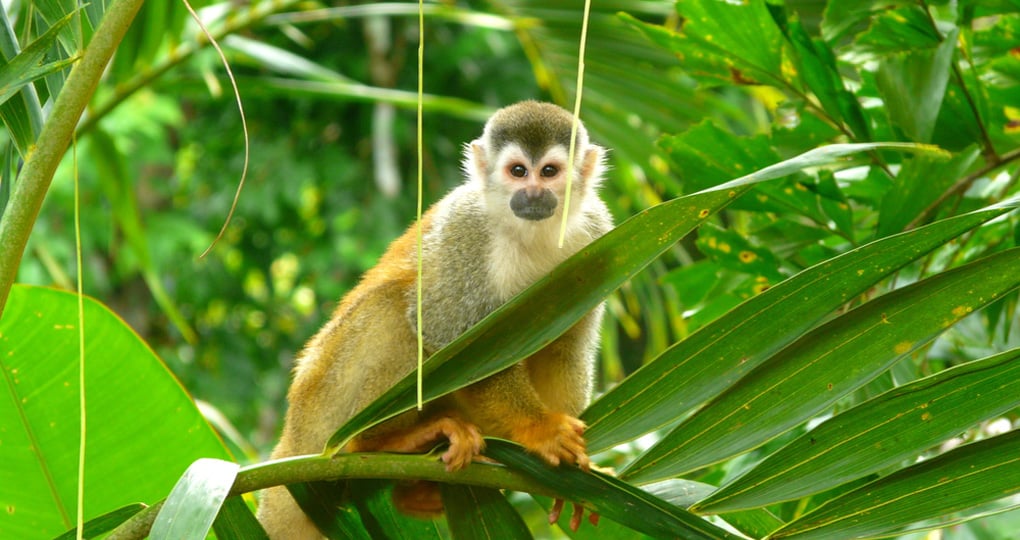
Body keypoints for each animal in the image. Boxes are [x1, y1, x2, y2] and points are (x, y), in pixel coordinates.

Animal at [257, 101, 613, 539]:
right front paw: (540, 428)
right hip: (322, 404)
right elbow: (450, 336)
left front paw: (571, 476)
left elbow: (566, 349)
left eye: (549, 172)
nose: (532, 194)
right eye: (517, 171)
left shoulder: (598, 233)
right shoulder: (467, 231)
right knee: (395, 313)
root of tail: (292, 439)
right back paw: (377, 442)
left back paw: (414, 493)